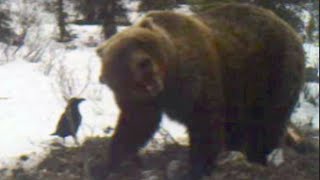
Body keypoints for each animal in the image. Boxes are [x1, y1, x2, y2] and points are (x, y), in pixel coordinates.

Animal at [93, 3, 304, 180]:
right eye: (121, 55)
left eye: (141, 41)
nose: (144, 64)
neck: (168, 82)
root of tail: (287, 26)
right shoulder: (139, 101)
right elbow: (135, 127)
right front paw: (105, 164)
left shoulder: (197, 79)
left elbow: (205, 122)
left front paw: (197, 168)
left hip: (272, 70)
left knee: (270, 120)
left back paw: (262, 157)